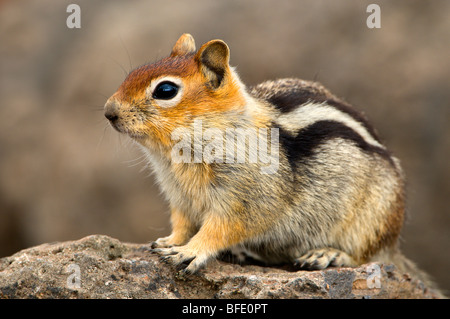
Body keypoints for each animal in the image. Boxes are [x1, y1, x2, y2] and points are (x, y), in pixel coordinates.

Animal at [104, 33, 436, 288]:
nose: (109, 112)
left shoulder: (245, 198)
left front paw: (192, 251)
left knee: (366, 256)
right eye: (131, 74)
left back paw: (326, 254)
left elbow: (220, 229)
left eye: (166, 90)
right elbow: (183, 224)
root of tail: (393, 244)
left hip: (371, 222)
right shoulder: (180, 198)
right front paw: (170, 241)